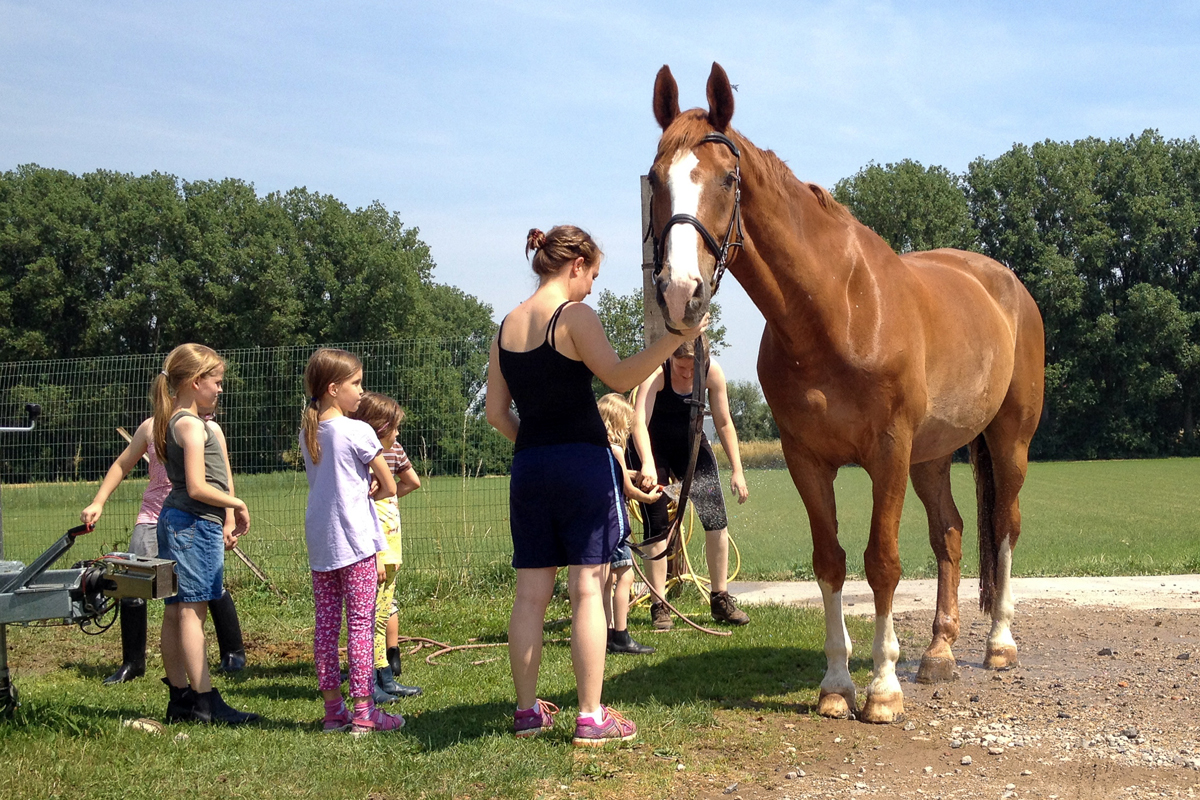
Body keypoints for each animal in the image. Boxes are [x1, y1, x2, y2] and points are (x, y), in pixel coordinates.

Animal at [648, 64, 1041, 724]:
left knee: (1005, 527)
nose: (680, 292)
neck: (836, 312)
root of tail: (1006, 284)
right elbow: (829, 560)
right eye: (655, 178)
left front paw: (881, 688)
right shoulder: (807, 459)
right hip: (932, 456)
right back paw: (938, 653)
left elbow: (881, 561)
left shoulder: (887, 452)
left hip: (1008, 439)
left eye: (727, 178)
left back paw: (1000, 645)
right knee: (951, 533)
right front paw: (836, 684)